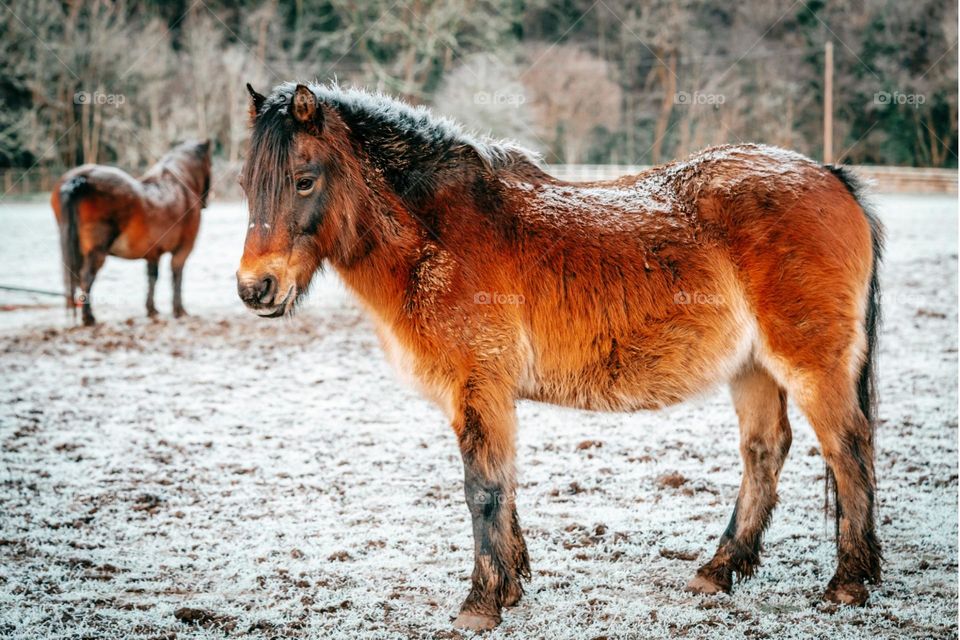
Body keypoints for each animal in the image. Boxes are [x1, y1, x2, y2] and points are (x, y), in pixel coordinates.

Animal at [51, 140, 212, 326]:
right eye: (209, 163)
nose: (205, 202)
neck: (179, 186)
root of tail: (80, 180)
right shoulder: (182, 250)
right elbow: (176, 277)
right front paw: (179, 311)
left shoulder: (153, 253)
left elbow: (152, 278)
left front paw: (152, 310)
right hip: (96, 252)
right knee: (86, 278)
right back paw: (89, 318)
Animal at [237, 82, 883, 631]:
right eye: (245, 184)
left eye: (303, 179)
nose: (255, 288)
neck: (438, 237)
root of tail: (829, 176)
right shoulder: (489, 395)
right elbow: (503, 484)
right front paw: (511, 586)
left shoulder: (479, 386)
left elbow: (482, 489)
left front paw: (480, 604)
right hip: (751, 368)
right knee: (764, 452)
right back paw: (717, 571)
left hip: (810, 364)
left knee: (847, 448)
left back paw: (847, 584)